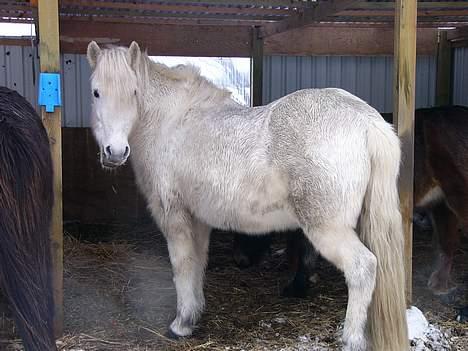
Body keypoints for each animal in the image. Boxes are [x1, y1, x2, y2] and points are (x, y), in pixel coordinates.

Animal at [86, 42, 408, 351]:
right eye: (96, 92)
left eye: (134, 91)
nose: (115, 152)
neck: (173, 121)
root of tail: (366, 122)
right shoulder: (198, 219)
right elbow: (198, 263)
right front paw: (194, 315)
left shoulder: (174, 215)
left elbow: (182, 265)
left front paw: (181, 324)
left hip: (328, 229)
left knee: (362, 269)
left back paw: (351, 339)